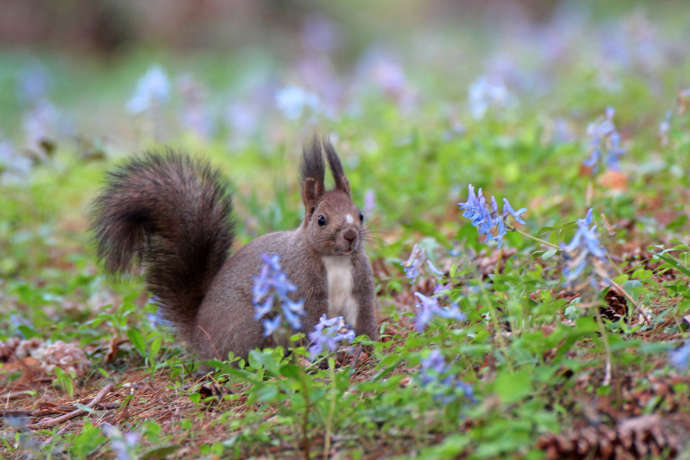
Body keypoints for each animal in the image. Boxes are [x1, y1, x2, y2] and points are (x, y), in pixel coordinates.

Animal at [89, 138, 378, 362]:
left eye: (360, 215)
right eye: (321, 220)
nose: (350, 236)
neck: (335, 261)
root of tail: (198, 336)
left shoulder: (360, 287)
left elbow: (364, 320)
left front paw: (368, 348)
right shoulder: (303, 286)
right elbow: (311, 323)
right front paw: (324, 355)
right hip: (249, 326)